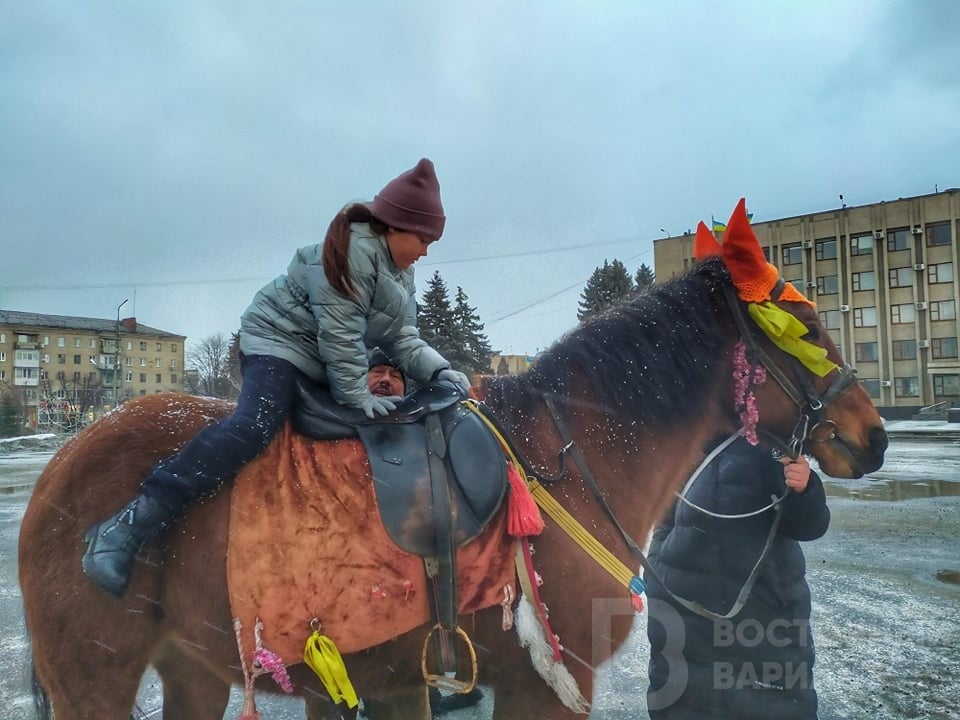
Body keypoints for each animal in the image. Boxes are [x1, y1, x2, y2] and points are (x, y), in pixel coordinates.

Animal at [16, 204, 884, 720]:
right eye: (807, 326)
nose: (873, 433)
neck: (571, 456)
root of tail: (62, 462)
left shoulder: (406, 684)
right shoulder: (546, 685)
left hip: (190, 667)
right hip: (95, 680)